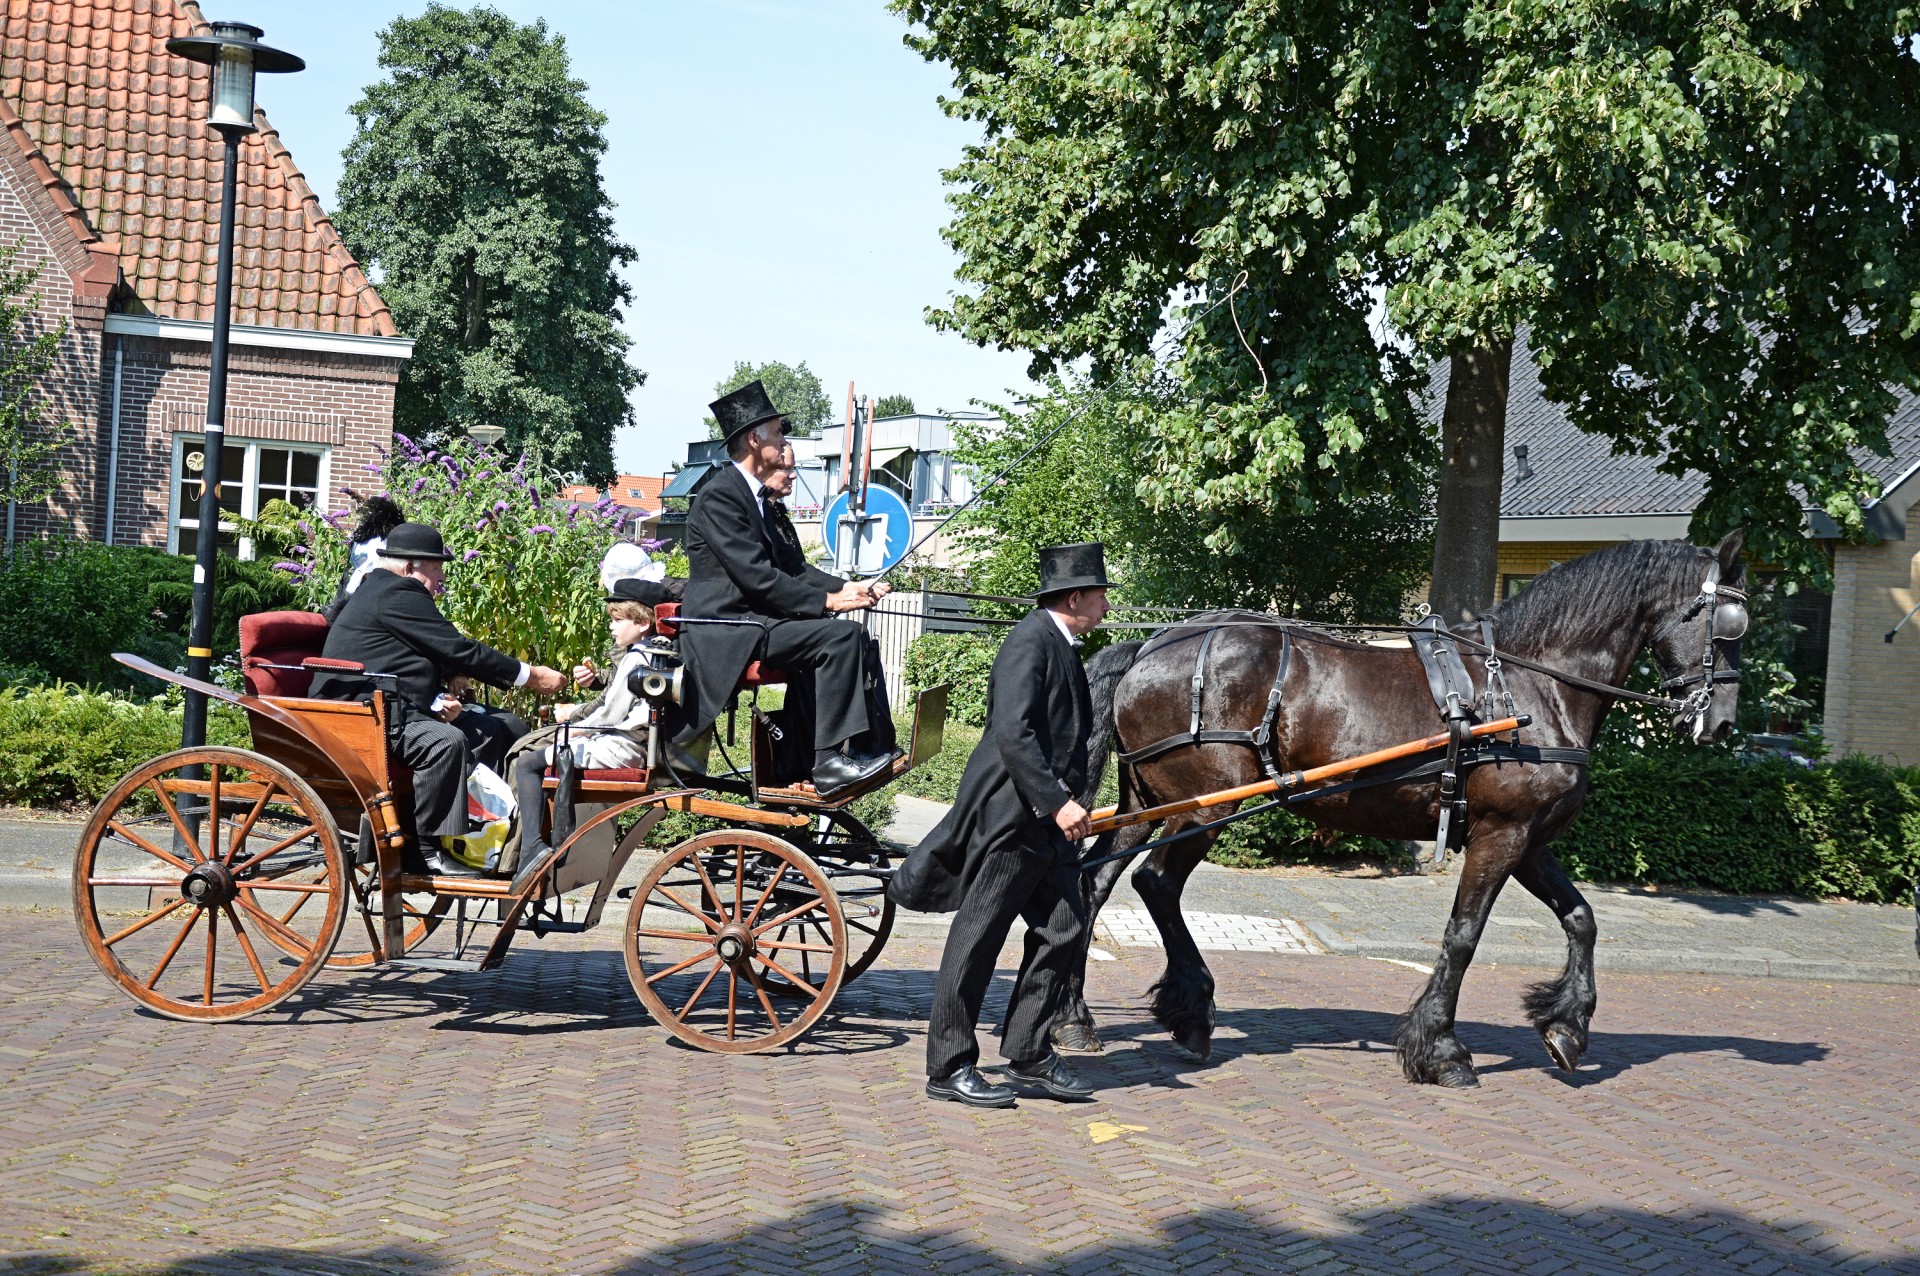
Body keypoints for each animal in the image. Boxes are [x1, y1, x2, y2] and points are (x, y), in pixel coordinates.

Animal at [1059, 529, 1751, 1082]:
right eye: (1729, 627)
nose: (1720, 723)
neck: (1530, 685)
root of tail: (1149, 647)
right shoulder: (1501, 834)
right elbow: (1463, 935)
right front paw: (1441, 1050)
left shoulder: (1528, 838)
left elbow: (1581, 919)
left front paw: (1566, 1027)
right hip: (1201, 808)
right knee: (1155, 882)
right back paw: (1188, 1012)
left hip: (1148, 804)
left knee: (1096, 883)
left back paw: (1081, 1018)